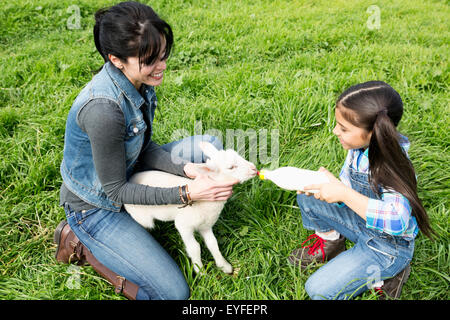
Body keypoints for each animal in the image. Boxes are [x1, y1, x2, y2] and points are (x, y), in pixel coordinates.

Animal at [123, 141, 256, 274]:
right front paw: (201, 272)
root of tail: (131, 178)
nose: (254, 168)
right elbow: (194, 247)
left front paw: (224, 266)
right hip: (141, 217)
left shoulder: (206, 225)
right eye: (231, 167)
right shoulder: (184, 225)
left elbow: (213, 243)